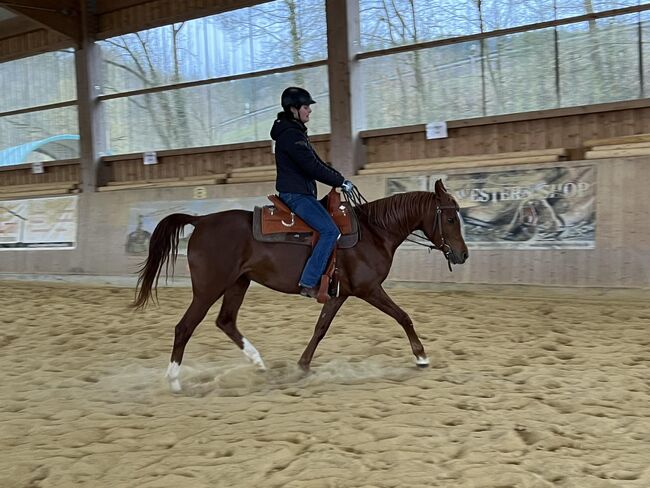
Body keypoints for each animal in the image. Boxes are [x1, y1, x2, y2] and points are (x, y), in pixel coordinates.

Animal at [134, 179, 466, 392]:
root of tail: (201, 220)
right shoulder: (368, 290)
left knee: (226, 321)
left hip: (238, 283)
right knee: (185, 327)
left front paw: (302, 366)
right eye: (450, 218)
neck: (374, 231)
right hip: (208, 288)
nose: (463, 254)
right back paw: (174, 381)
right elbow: (403, 316)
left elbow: (320, 328)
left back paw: (259, 364)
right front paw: (421, 356)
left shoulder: (339, 294)